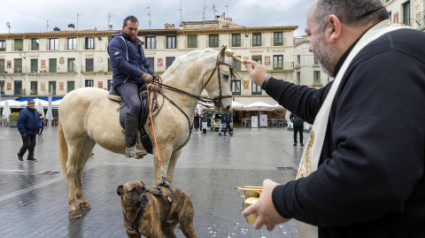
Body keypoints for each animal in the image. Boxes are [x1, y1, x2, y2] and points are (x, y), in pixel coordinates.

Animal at [58, 47, 234, 218]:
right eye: (225, 75)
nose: (227, 106)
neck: (174, 99)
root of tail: (66, 97)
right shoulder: (162, 150)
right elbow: (159, 182)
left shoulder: (175, 152)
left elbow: (168, 182)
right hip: (74, 141)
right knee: (71, 169)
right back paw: (73, 208)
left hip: (87, 141)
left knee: (79, 168)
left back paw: (82, 202)